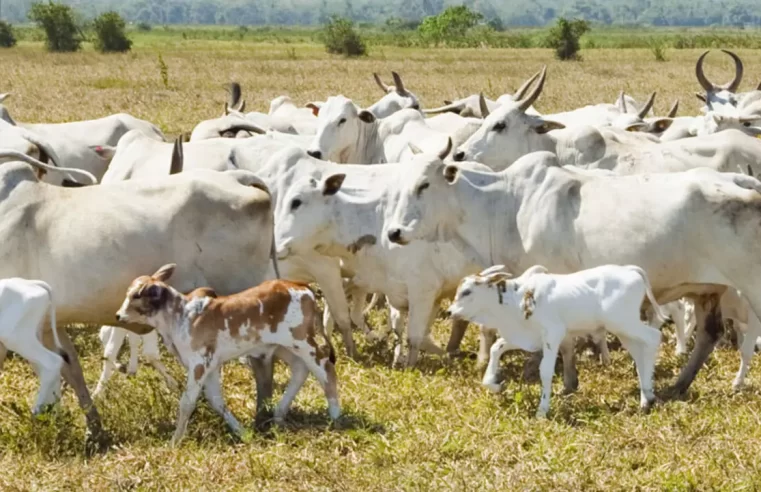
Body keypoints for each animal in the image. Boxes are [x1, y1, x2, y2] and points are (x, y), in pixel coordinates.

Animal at [113, 266, 338, 446]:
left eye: (136, 295)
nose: (118, 315)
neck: (180, 317)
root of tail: (302, 286)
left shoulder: (199, 364)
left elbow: (187, 402)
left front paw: (174, 442)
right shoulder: (211, 368)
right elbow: (216, 401)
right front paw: (243, 432)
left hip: (302, 342)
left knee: (325, 369)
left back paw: (336, 415)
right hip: (284, 347)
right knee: (301, 369)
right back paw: (279, 415)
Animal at [386, 152, 761, 394]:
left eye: (424, 185)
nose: (393, 232)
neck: (506, 204)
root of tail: (740, 179)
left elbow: (560, 340)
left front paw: (559, 380)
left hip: (750, 286)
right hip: (709, 289)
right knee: (709, 334)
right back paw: (677, 386)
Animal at [448, 264, 664, 418]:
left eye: (466, 292)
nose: (450, 312)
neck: (518, 299)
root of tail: (630, 270)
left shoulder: (553, 334)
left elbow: (545, 371)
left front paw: (542, 411)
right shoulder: (526, 336)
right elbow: (496, 348)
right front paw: (494, 384)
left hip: (624, 323)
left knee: (653, 338)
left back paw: (647, 398)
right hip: (624, 330)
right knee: (639, 353)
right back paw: (647, 396)